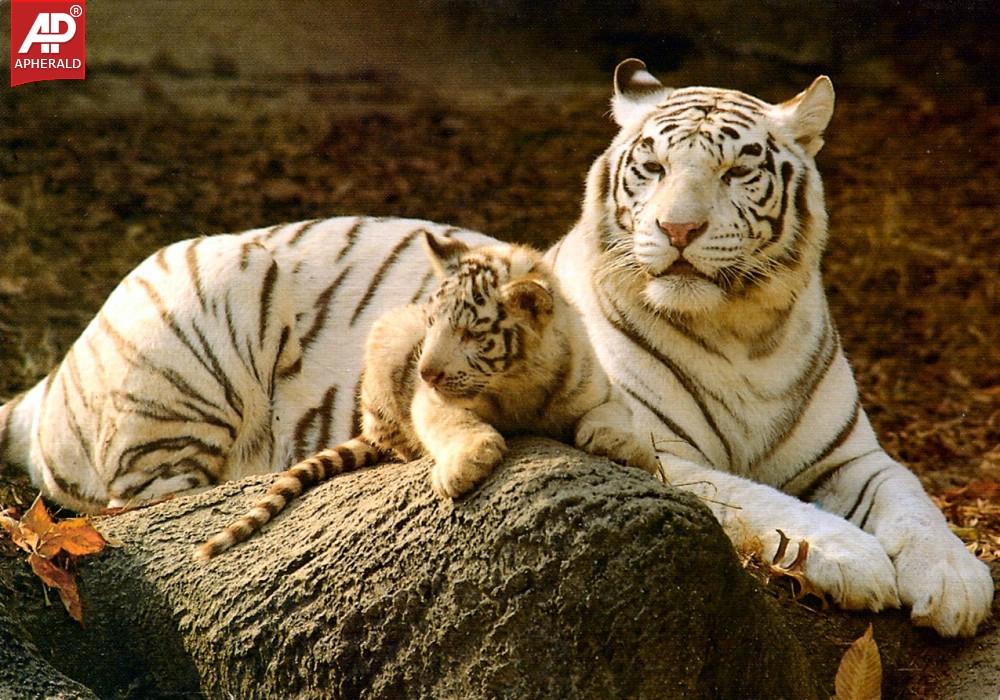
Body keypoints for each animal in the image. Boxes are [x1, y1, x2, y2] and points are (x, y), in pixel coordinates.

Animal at [194, 232, 657, 560]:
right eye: (434, 322)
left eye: (470, 333)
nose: (426, 372)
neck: (517, 382)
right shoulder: (431, 400)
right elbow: (455, 423)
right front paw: (466, 465)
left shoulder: (596, 386)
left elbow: (614, 414)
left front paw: (626, 446)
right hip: (389, 335)